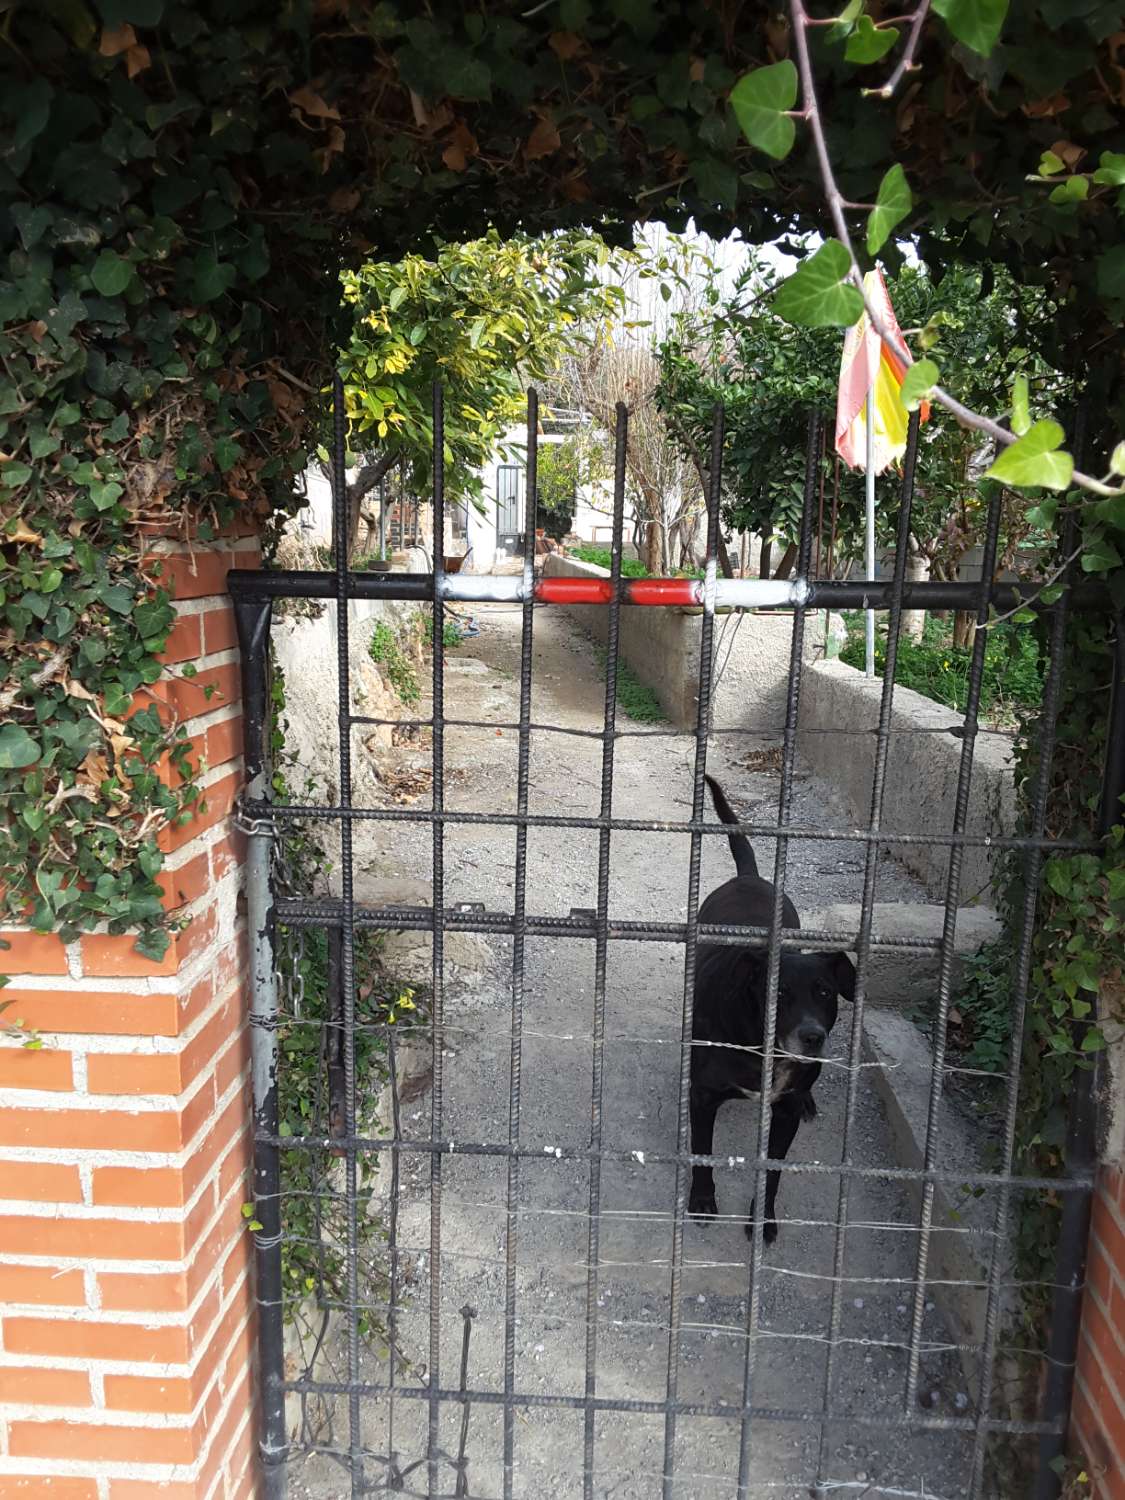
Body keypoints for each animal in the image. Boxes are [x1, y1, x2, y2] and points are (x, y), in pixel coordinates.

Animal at [687, 774, 852, 1242]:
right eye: (778, 994)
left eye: (825, 993)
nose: (813, 1036)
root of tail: (751, 876)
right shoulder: (702, 1098)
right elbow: (701, 1152)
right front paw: (701, 1199)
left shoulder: (785, 1114)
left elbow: (773, 1171)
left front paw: (763, 1218)